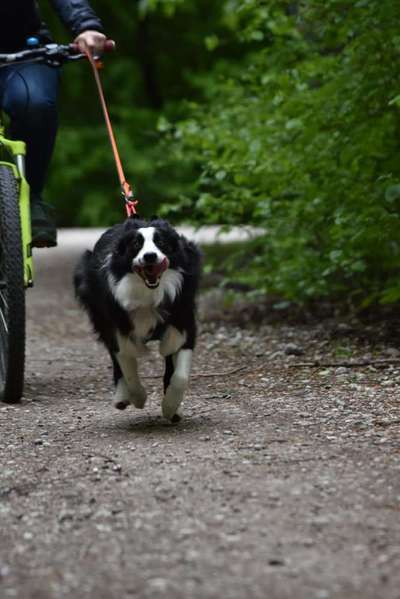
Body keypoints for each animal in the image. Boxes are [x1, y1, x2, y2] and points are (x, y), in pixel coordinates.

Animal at [73, 217, 202, 422]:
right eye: (135, 244)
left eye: (161, 242)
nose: (150, 256)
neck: (148, 295)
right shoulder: (119, 326)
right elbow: (128, 368)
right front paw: (138, 397)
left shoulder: (183, 320)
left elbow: (180, 375)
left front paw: (170, 406)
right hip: (100, 315)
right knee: (115, 358)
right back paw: (121, 396)